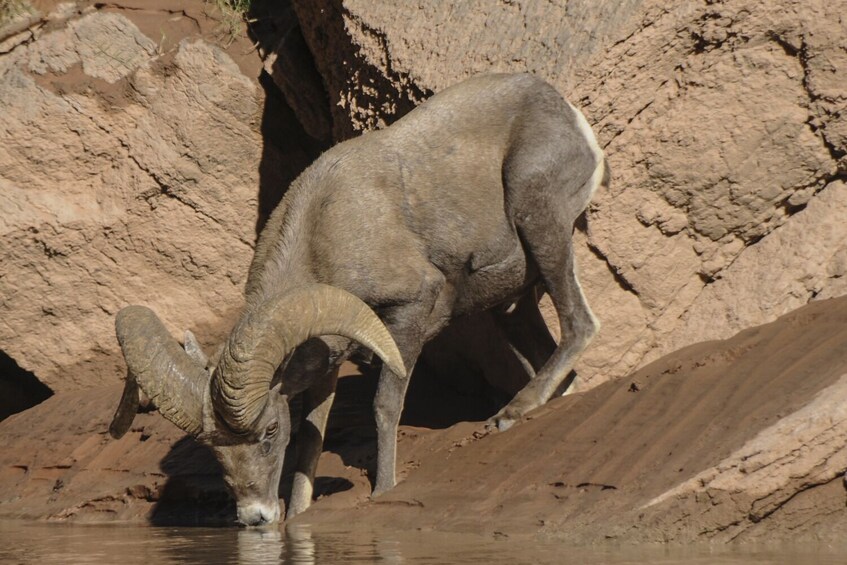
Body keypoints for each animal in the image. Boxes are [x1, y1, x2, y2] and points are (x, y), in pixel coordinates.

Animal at [109, 72, 608, 528]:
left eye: (269, 431)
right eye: (214, 451)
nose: (255, 518)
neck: (324, 230)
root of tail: (566, 113)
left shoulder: (407, 315)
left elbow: (384, 405)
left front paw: (383, 490)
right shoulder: (326, 358)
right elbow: (312, 440)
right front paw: (299, 516)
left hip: (538, 218)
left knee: (580, 324)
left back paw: (509, 414)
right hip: (511, 306)